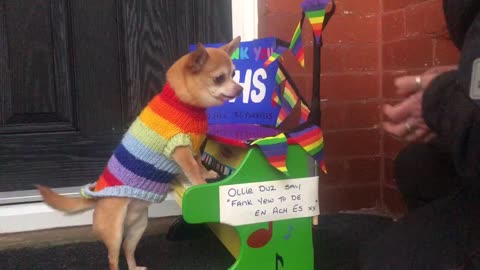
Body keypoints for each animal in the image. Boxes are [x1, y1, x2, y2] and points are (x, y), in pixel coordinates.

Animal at [36, 37, 244, 270]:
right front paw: (200, 184)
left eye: (234, 74)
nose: (240, 89)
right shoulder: (179, 149)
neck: (184, 105)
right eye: (220, 78)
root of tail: (98, 198)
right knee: (113, 257)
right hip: (114, 231)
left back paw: (135, 266)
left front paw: (207, 175)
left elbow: (199, 162)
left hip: (138, 227)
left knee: (128, 249)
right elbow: (192, 168)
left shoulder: (193, 147)